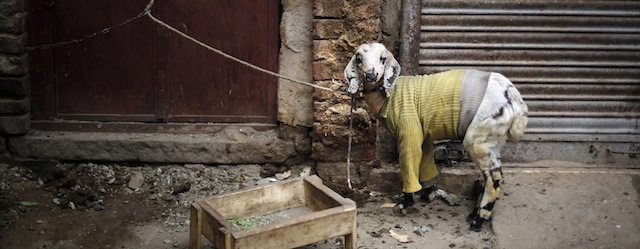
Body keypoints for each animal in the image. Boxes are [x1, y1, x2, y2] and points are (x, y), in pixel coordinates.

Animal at [344, 43, 528, 231]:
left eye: (383, 58)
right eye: (359, 58)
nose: (371, 75)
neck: (390, 96)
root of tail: (516, 103)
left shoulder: (409, 131)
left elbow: (409, 166)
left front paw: (405, 203)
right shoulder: (422, 135)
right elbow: (426, 164)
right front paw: (429, 194)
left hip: (479, 136)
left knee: (493, 178)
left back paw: (478, 219)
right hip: (493, 138)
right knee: (492, 175)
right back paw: (474, 214)